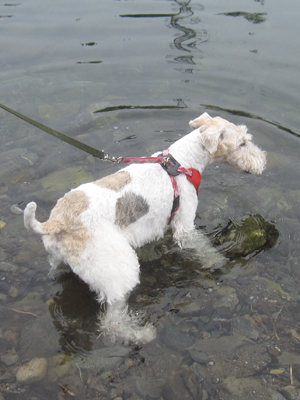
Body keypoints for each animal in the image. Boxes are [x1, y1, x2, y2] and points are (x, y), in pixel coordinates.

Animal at [24, 113, 268, 344]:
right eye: (242, 143)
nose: (264, 161)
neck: (183, 162)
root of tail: (57, 222)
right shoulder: (185, 226)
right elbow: (203, 248)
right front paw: (218, 261)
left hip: (63, 259)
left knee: (57, 271)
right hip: (120, 270)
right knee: (112, 321)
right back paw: (142, 334)